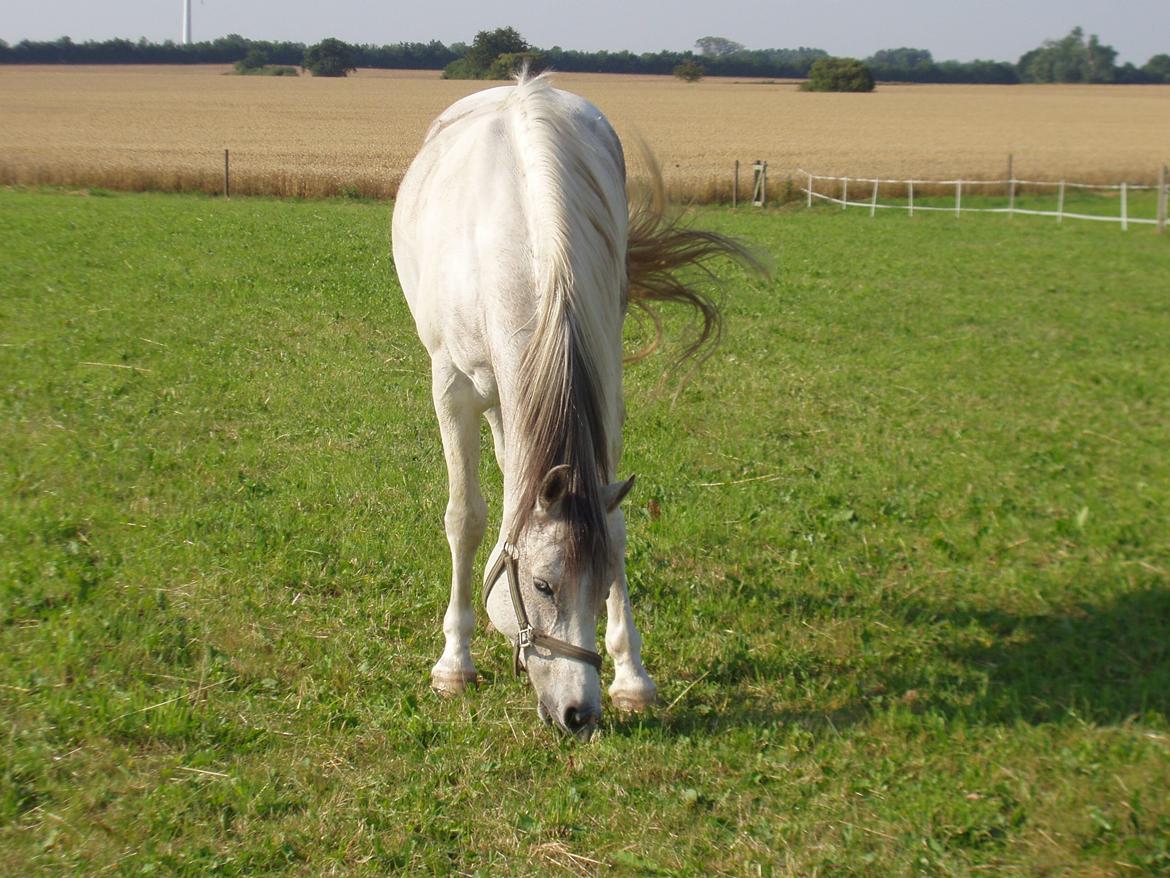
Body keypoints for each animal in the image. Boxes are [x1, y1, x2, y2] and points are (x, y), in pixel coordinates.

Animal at [393, 72, 758, 744]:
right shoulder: (452, 388)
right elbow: (465, 517)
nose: (579, 714)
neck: (523, 248)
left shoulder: (604, 387)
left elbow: (613, 522)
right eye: (542, 585)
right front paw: (454, 662)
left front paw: (631, 676)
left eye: (604, 580)